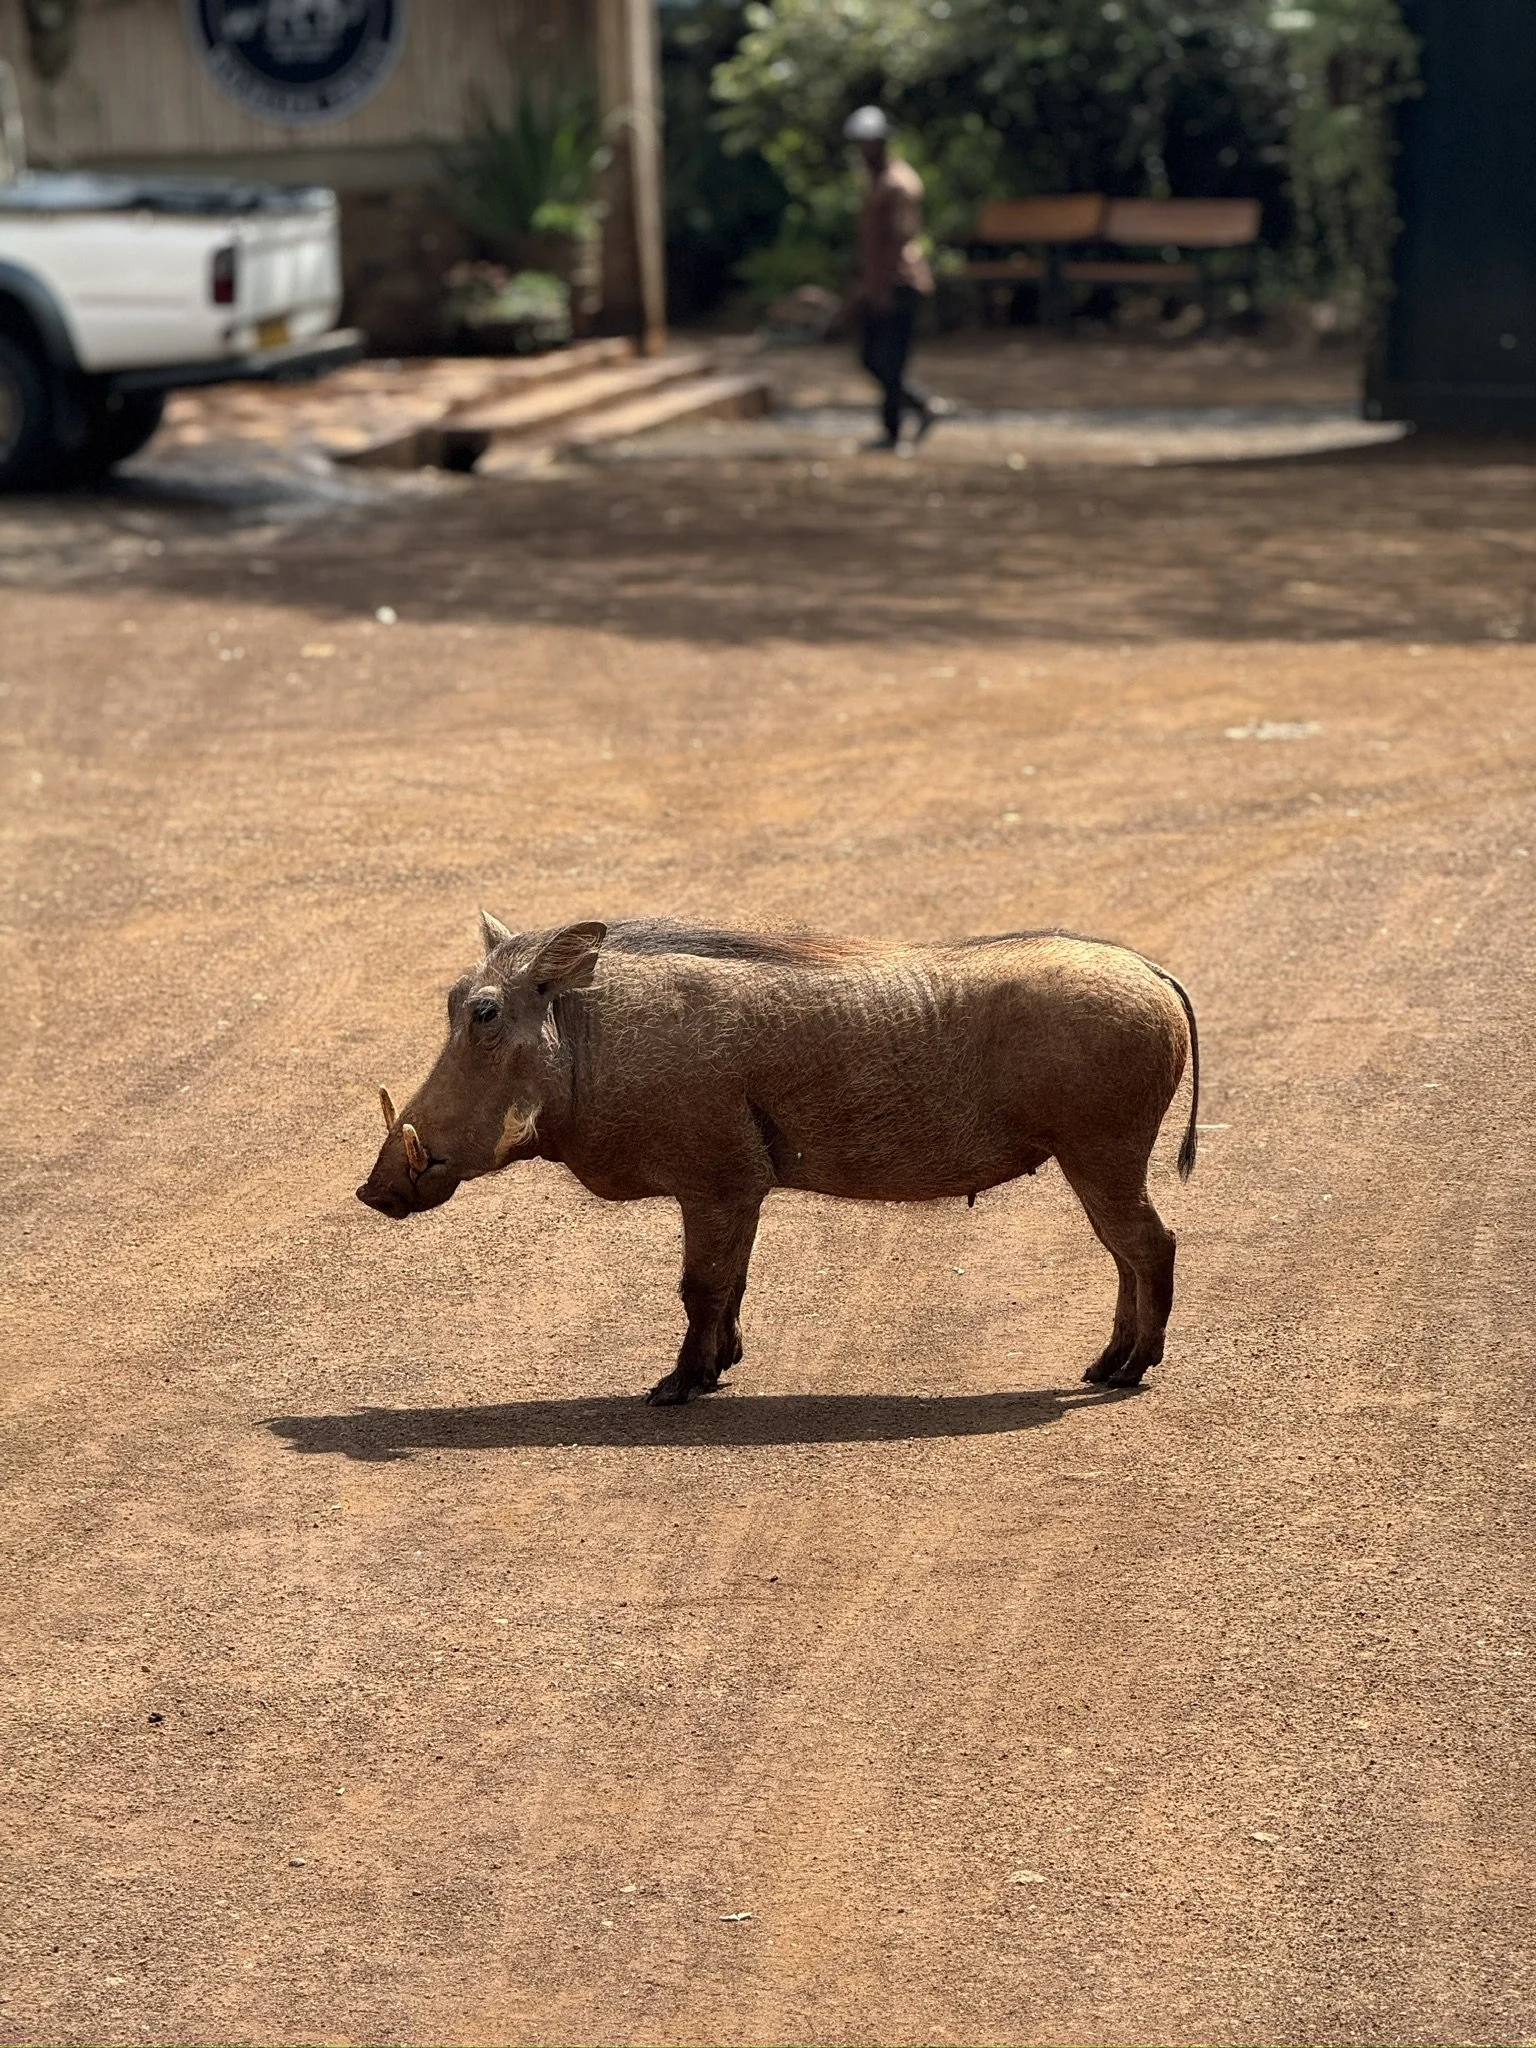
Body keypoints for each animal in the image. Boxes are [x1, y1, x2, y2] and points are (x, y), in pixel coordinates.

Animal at [358, 915, 1200, 1403]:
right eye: (455, 1000)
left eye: (484, 1013)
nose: (373, 1190)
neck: (592, 1038)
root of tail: (1154, 972)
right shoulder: (740, 1188)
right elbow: (731, 1282)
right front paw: (719, 1368)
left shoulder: (715, 1180)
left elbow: (699, 1286)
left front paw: (676, 1387)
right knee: (1129, 1253)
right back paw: (1106, 1366)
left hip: (1103, 1152)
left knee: (1150, 1246)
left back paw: (1128, 1371)